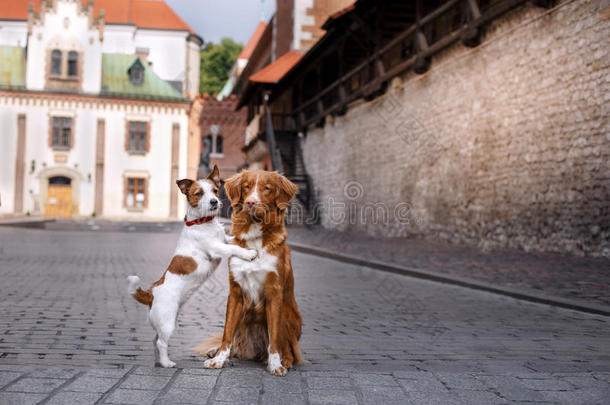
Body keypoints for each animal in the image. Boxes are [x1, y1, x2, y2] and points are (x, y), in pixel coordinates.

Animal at [126, 166, 254, 368]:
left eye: (215, 191)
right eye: (199, 193)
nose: (214, 201)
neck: (203, 223)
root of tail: (151, 294)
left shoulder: (223, 239)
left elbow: (231, 239)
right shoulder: (216, 248)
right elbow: (232, 247)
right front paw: (249, 253)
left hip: (165, 321)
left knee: (155, 340)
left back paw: (159, 361)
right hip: (168, 321)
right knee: (161, 342)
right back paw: (167, 363)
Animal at [197, 169, 304, 374]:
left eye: (267, 188)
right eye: (246, 187)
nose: (250, 202)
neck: (255, 237)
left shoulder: (274, 292)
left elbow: (275, 337)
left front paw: (276, 364)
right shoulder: (235, 292)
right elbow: (227, 333)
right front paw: (219, 359)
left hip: (288, 313)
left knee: (290, 351)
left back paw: (284, 360)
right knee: (235, 342)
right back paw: (216, 351)